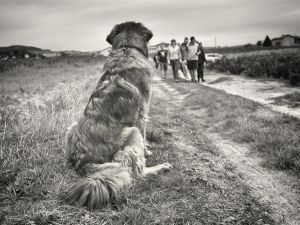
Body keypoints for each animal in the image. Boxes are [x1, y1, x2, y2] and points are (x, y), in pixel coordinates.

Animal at [60, 22, 172, 210]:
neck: (126, 49)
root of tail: (83, 161)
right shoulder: (142, 114)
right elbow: (144, 138)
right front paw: (148, 151)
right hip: (132, 131)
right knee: (137, 172)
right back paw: (162, 167)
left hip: (72, 127)